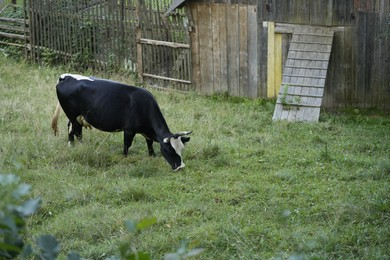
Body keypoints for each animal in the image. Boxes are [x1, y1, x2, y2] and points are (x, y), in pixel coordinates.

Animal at [51, 73, 192, 171]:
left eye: (182, 149)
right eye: (170, 150)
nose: (181, 167)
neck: (144, 105)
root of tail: (65, 77)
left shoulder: (147, 131)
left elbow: (149, 143)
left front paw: (152, 155)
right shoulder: (129, 130)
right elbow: (127, 145)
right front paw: (125, 158)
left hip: (78, 117)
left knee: (74, 129)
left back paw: (78, 145)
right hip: (72, 115)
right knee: (74, 129)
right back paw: (75, 146)